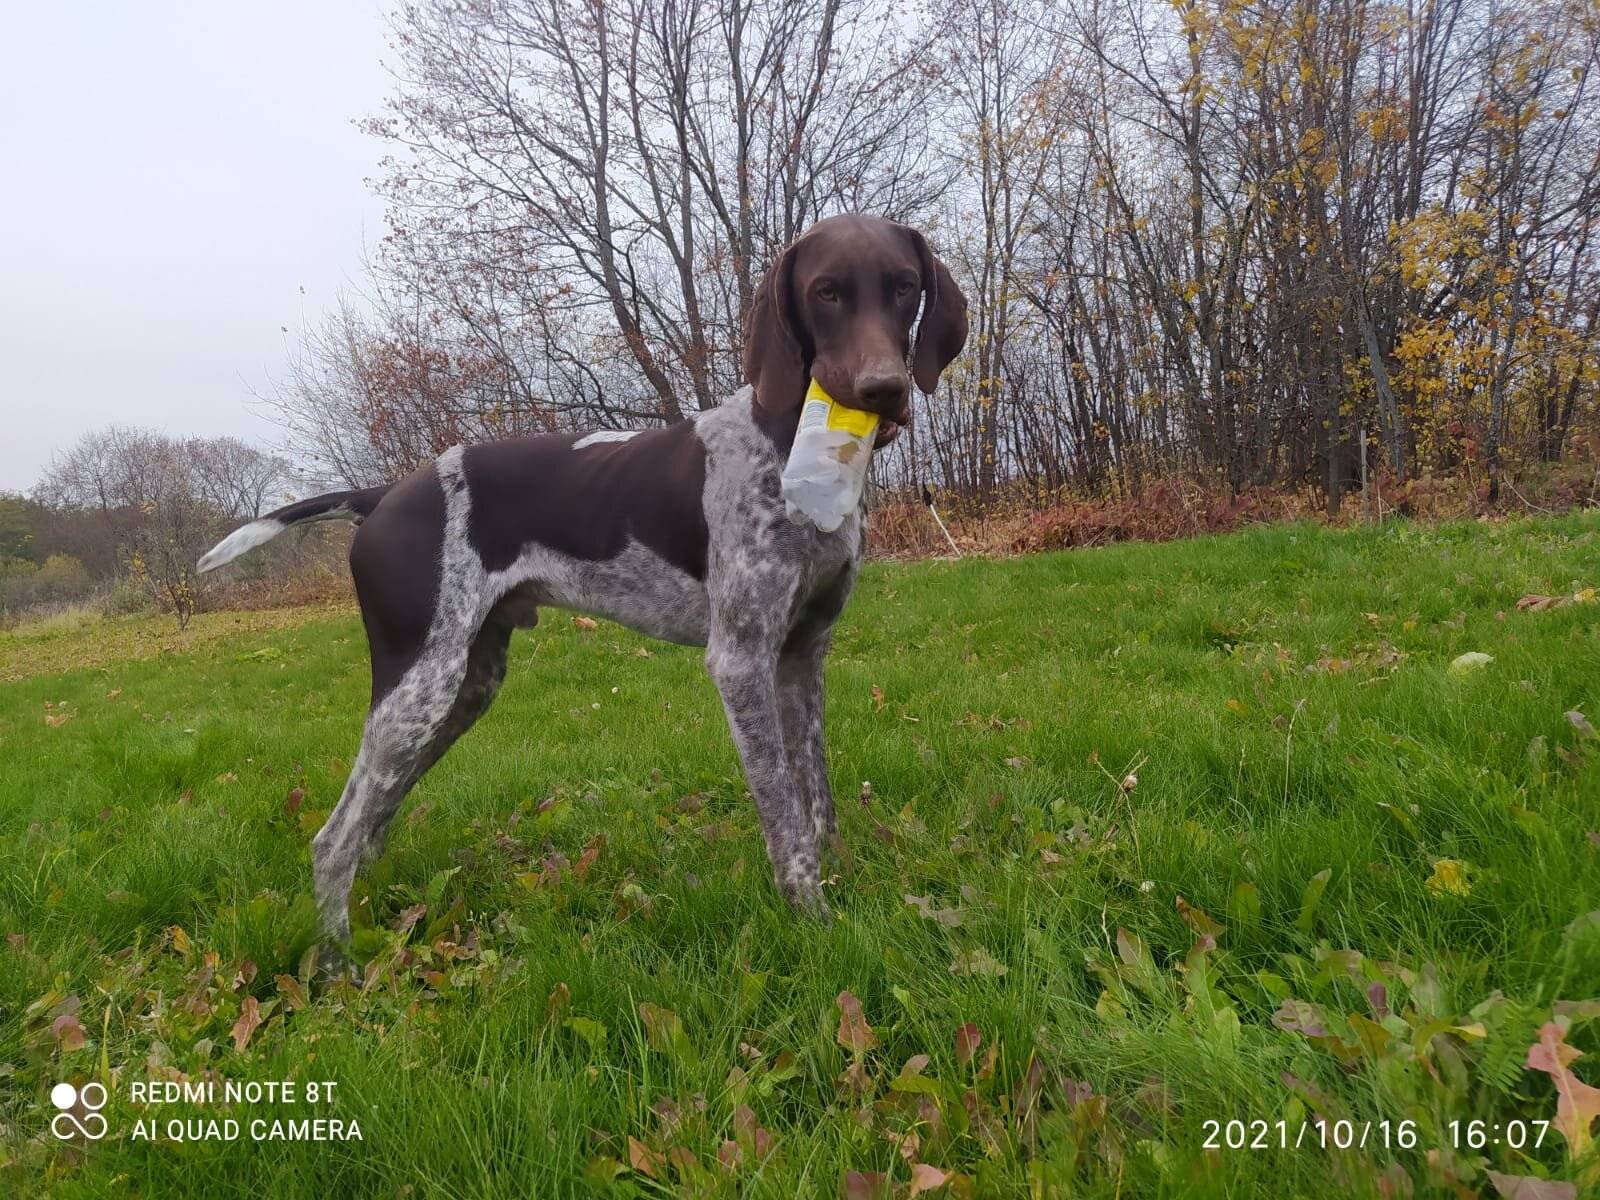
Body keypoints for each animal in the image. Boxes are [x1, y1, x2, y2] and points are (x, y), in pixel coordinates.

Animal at [195, 214, 966, 966]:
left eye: (903, 286)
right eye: (825, 292)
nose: (883, 389)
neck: (794, 449)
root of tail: (381, 494)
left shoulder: (803, 656)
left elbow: (819, 797)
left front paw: (846, 884)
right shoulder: (741, 661)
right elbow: (784, 815)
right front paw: (814, 922)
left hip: (464, 688)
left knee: (373, 823)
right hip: (418, 685)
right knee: (334, 839)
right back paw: (336, 967)